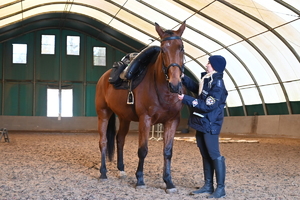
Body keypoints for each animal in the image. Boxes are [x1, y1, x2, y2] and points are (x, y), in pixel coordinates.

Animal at [95, 21, 185, 193]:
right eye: (163, 50)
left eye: (181, 48)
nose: (175, 84)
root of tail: (104, 77)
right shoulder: (145, 120)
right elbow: (143, 150)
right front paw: (140, 180)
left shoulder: (172, 121)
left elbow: (167, 152)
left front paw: (169, 182)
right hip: (103, 114)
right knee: (103, 142)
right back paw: (103, 173)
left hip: (124, 117)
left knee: (120, 140)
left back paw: (121, 170)